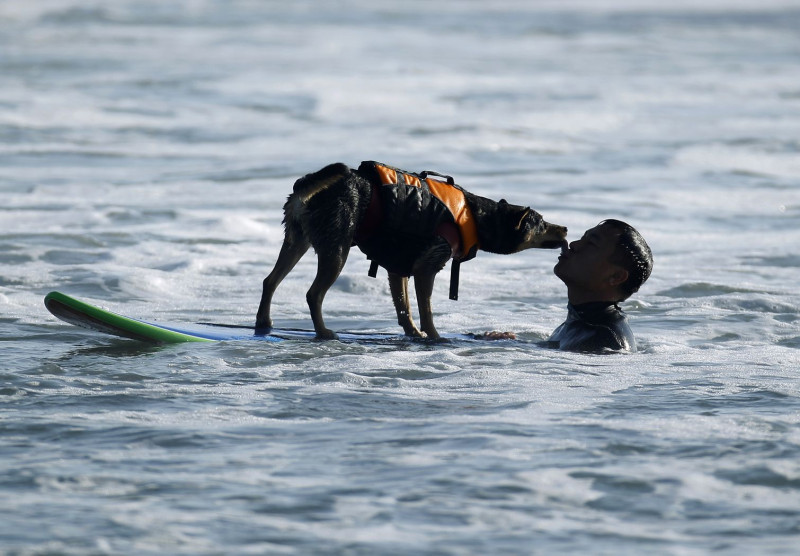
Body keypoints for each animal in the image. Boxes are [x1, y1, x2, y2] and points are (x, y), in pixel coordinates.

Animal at [256, 161, 568, 338]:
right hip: (337, 248)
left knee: (270, 281)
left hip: (296, 240)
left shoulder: (399, 267)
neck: (477, 217)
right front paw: (435, 336)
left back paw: (263, 322)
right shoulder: (426, 267)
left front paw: (414, 334)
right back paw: (322, 332)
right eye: (541, 224)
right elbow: (426, 308)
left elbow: (403, 307)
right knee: (313, 294)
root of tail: (302, 187)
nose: (565, 229)